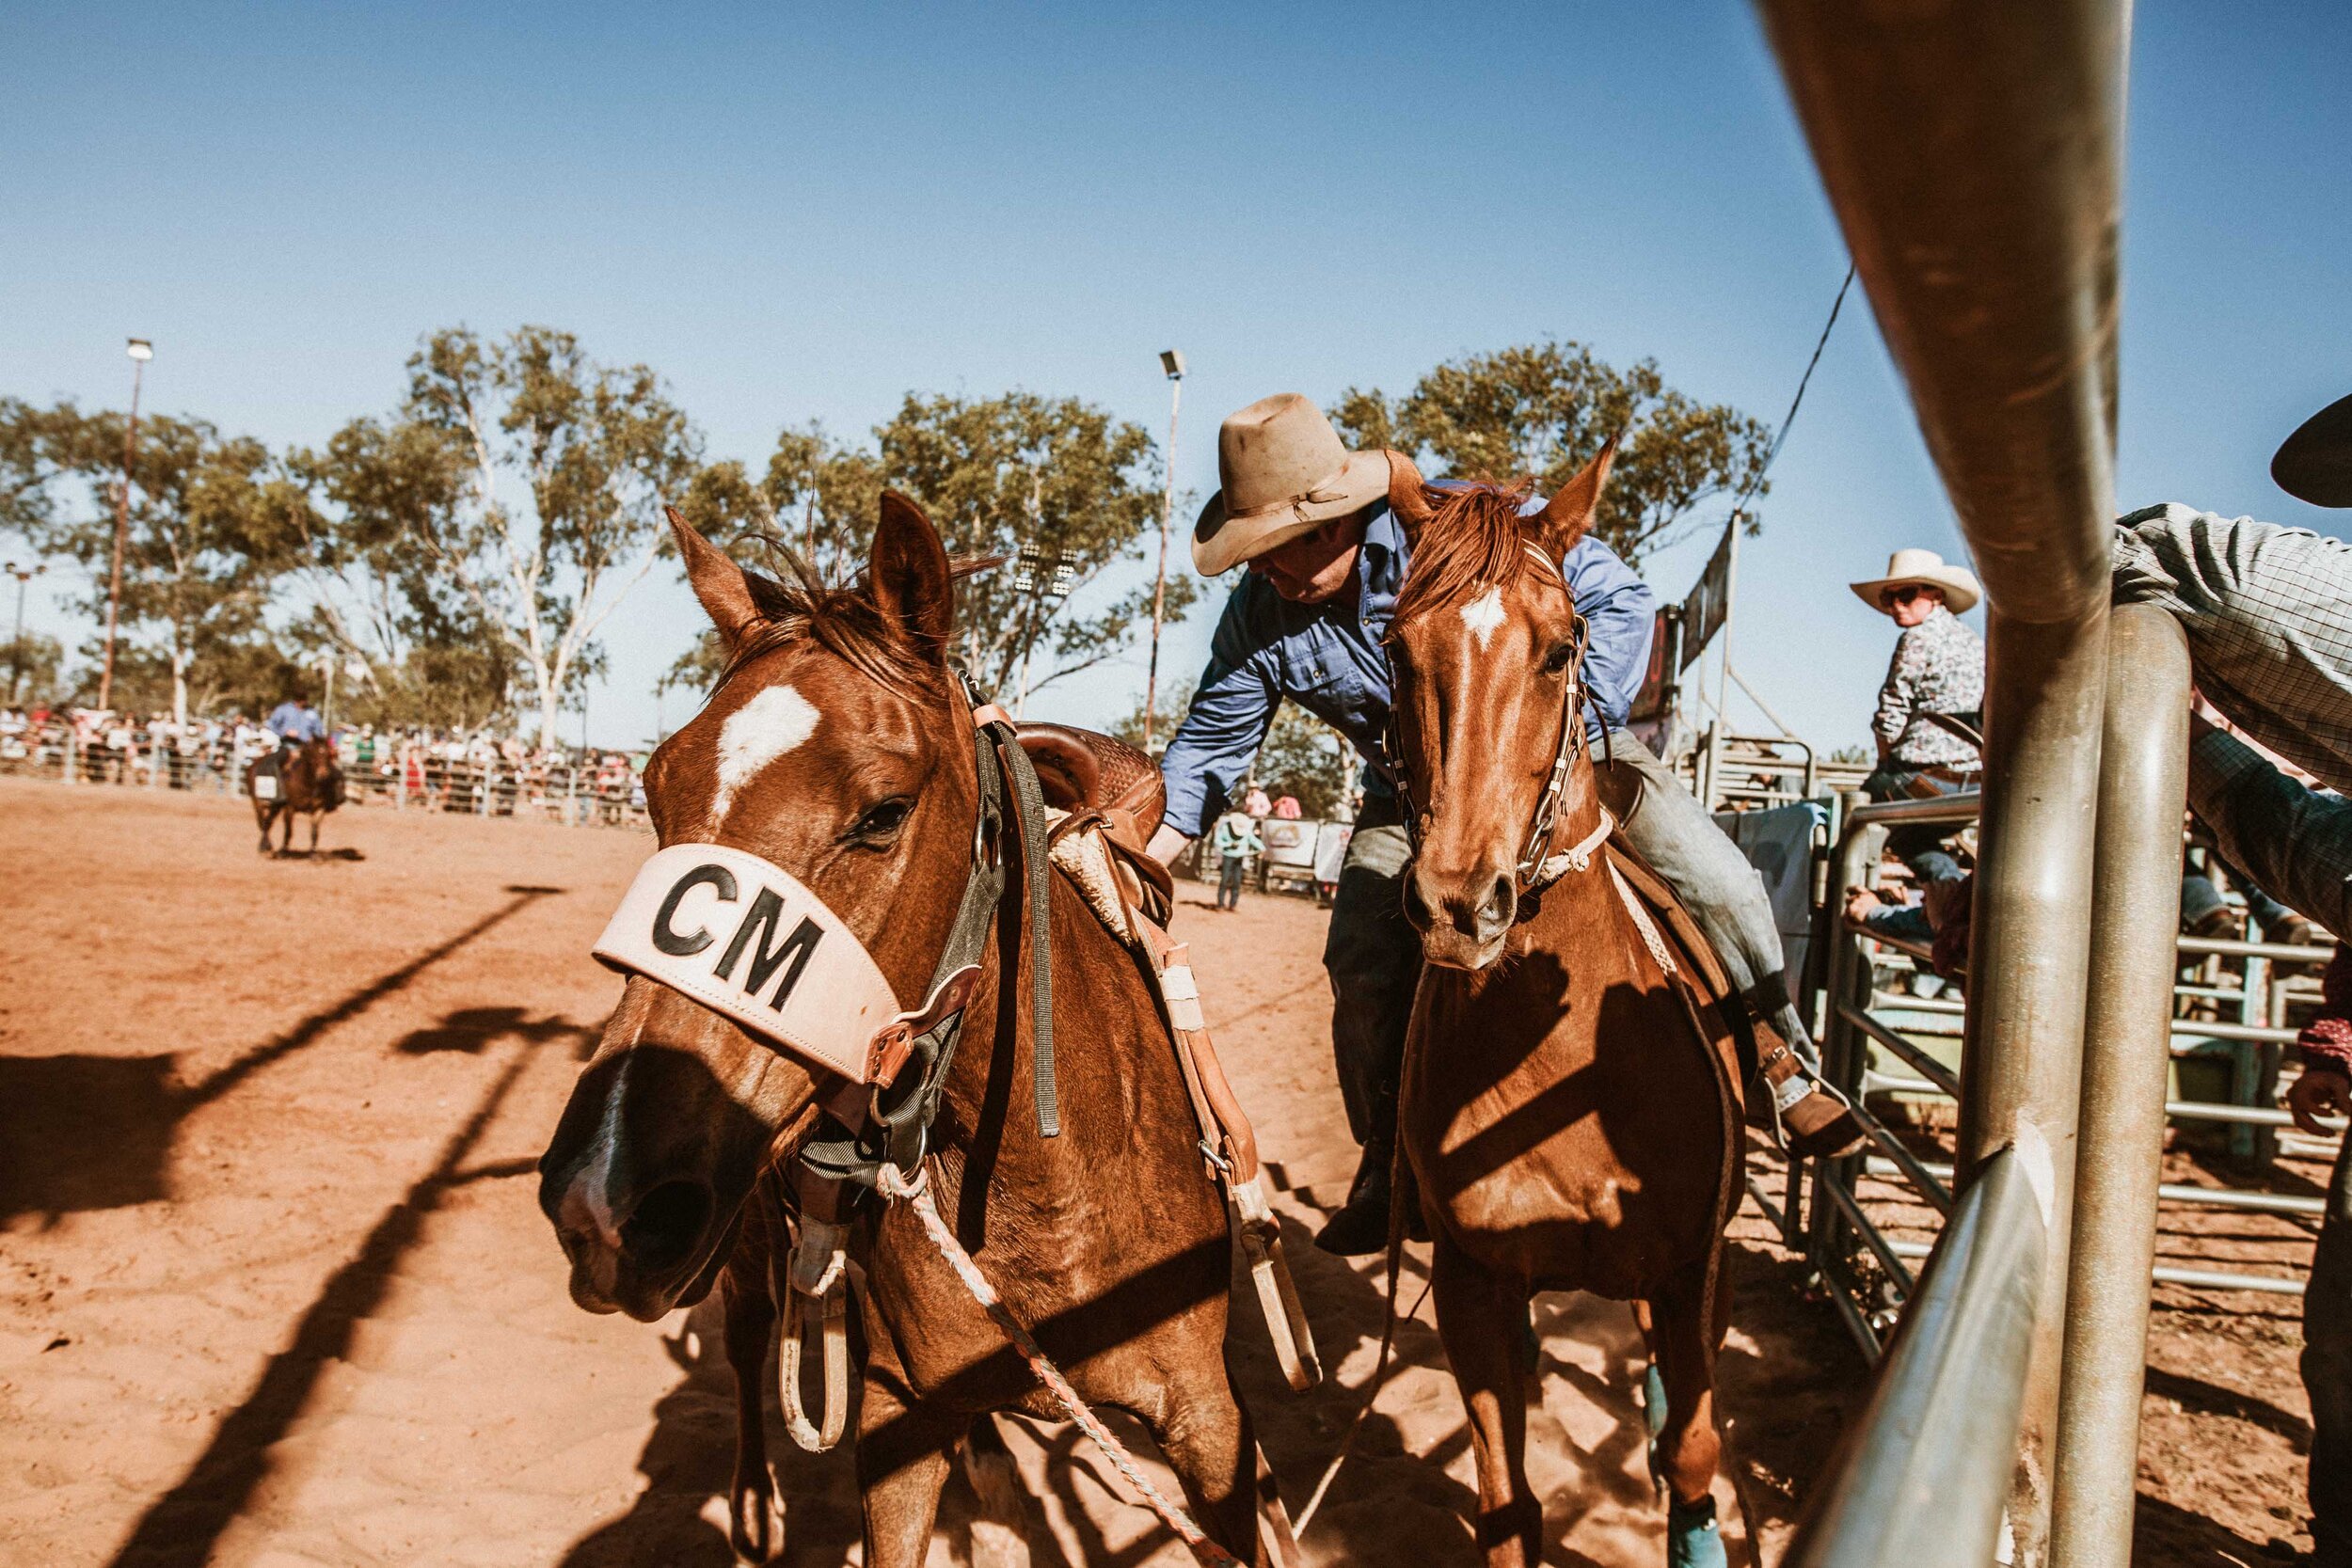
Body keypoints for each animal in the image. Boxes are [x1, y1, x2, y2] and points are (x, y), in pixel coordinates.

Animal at [246, 737, 343, 860]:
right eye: (313, 754)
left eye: (329, 755)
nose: (323, 774)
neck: (306, 783)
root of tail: (254, 764)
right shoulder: (289, 808)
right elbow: (288, 831)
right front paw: (283, 851)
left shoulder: (319, 809)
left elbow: (314, 832)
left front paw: (314, 854)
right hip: (258, 802)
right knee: (263, 823)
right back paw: (266, 848)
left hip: (275, 807)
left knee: (268, 822)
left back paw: (266, 847)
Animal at [538, 493, 1279, 1568]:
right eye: (654, 789)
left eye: (884, 812)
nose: (602, 1195)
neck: (1049, 1190)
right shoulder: (896, 1419)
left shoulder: (1210, 1421)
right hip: (745, 1229)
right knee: (751, 1334)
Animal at [1374, 451, 1750, 1568]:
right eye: (1395, 643)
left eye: (1562, 647)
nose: (1461, 904)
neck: (1568, 1075)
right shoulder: (1474, 1282)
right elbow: (1509, 1502)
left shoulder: (1694, 1267)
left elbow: (1693, 1451)